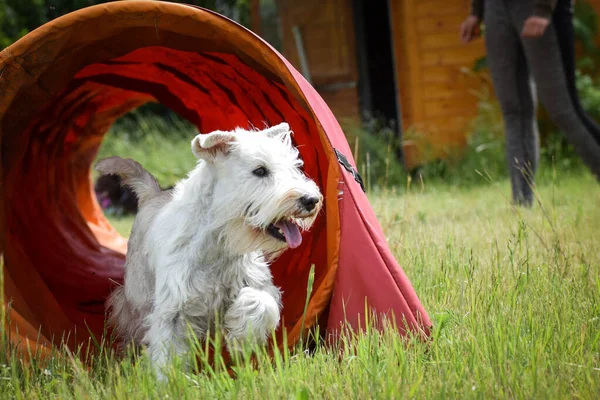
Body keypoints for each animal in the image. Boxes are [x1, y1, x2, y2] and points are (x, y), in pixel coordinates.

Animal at [96, 122, 324, 376]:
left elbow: (260, 303)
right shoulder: (173, 310)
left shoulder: (258, 285)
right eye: (260, 170)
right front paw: (169, 381)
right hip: (138, 297)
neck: (219, 242)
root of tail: (152, 195)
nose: (311, 200)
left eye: (294, 167)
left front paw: (241, 336)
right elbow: (168, 351)